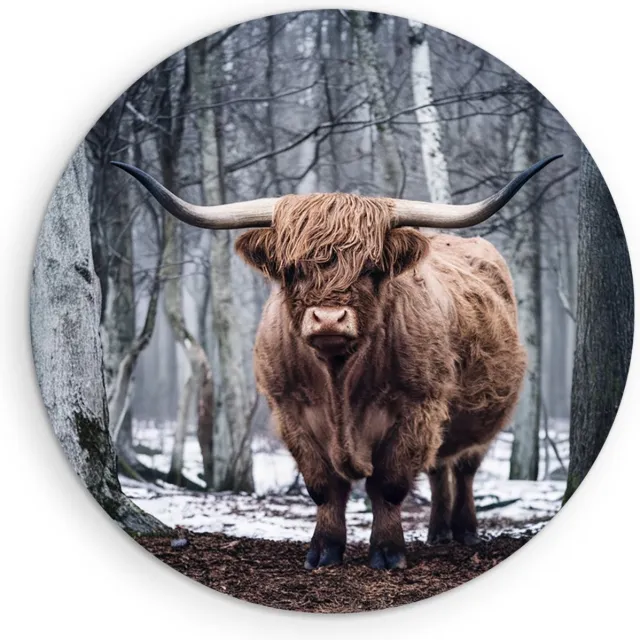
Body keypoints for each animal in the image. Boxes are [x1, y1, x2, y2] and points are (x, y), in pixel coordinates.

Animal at [114, 154, 561, 570]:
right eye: (292, 270)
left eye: (371, 268)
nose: (329, 319)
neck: (339, 379)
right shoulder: (292, 412)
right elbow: (324, 486)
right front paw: (324, 551)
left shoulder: (417, 408)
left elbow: (389, 484)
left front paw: (387, 552)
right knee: (438, 468)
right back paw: (437, 533)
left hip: (480, 418)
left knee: (463, 468)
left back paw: (464, 532)